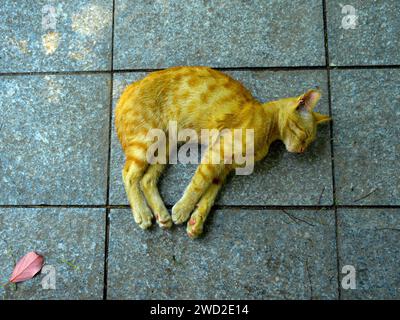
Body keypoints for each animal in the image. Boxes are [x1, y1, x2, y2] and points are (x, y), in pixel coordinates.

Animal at [114, 65, 330, 238]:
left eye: (309, 142)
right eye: (304, 135)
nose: (301, 150)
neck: (269, 127)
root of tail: (129, 87)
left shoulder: (224, 168)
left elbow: (209, 194)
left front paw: (197, 221)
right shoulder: (217, 154)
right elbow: (198, 185)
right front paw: (183, 209)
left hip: (166, 146)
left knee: (147, 179)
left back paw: (162, 214)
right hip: (147, 141)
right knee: (129, 175)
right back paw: (142, 213)